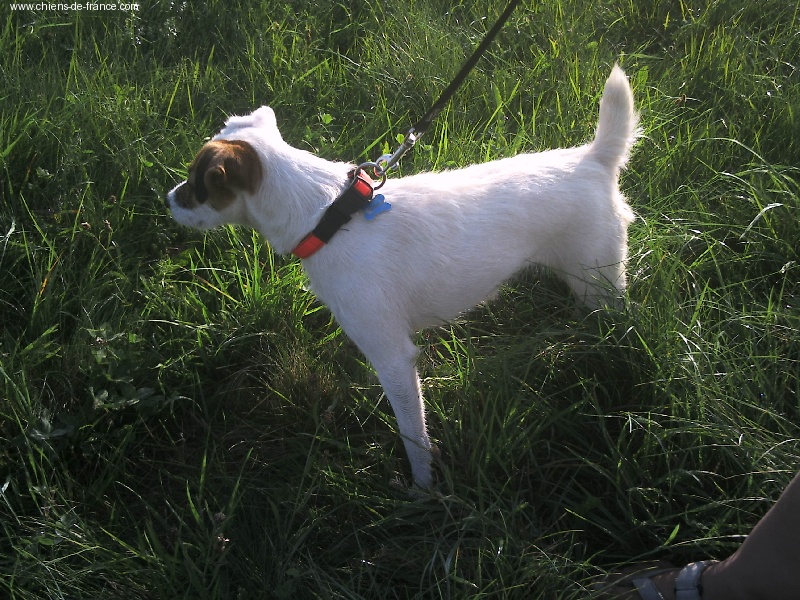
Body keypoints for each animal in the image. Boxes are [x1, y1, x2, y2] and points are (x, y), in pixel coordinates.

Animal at [166, 65, 638, 489]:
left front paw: (422, 487)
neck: (327, 216)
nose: (168, 199)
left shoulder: (392, 356)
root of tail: (594, 159)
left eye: (195, 183)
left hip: (599, 278)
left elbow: (413, 432)